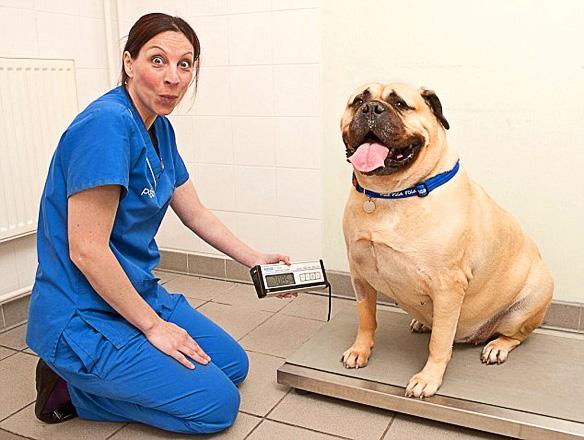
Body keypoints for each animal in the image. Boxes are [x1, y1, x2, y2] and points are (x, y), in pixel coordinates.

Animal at [338, 82, 552, 398]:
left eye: (400, 104)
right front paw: (360, 350)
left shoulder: (448, 287)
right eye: (358, 101)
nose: (371, 109)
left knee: (516, 335)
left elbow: (439, 343)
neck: (391, 195)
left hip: (524, 307)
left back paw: (497, 347)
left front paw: (428, 379)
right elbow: (366, 319)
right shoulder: (360, 276)